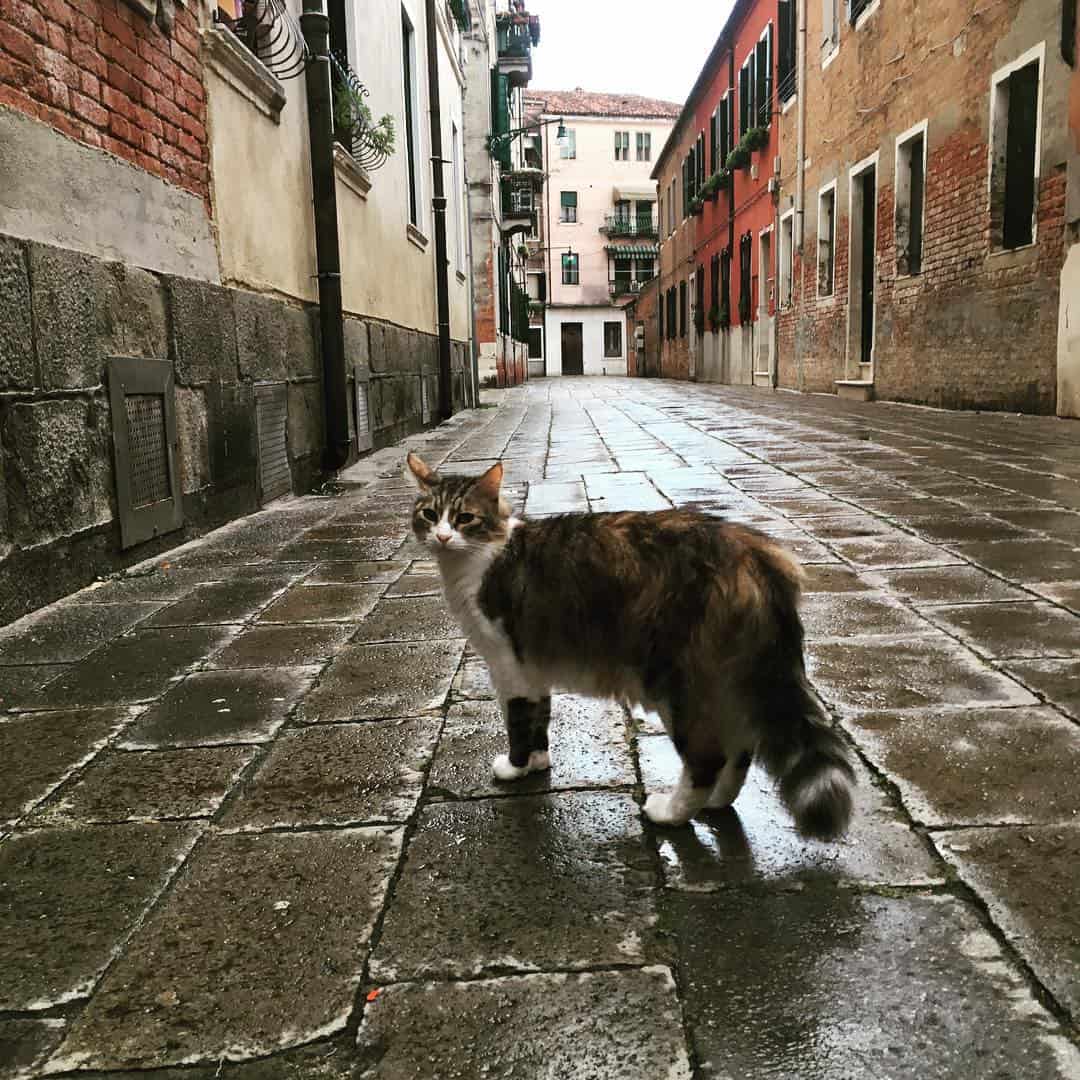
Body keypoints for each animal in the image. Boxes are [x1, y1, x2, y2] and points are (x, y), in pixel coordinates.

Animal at [403, 447, 851, 833]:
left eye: (464, 518)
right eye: (430, 514)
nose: (442, 536)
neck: (478, 559)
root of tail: (751, 554)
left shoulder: (508, 665)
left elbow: (517, 722)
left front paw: (515, 767)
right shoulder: (534, 666)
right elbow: (540, 718)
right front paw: (538, 762)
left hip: (676, 681)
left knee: (708, 758)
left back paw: (669, 813)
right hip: (729, 677)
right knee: (741, 750)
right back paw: (716, 804)